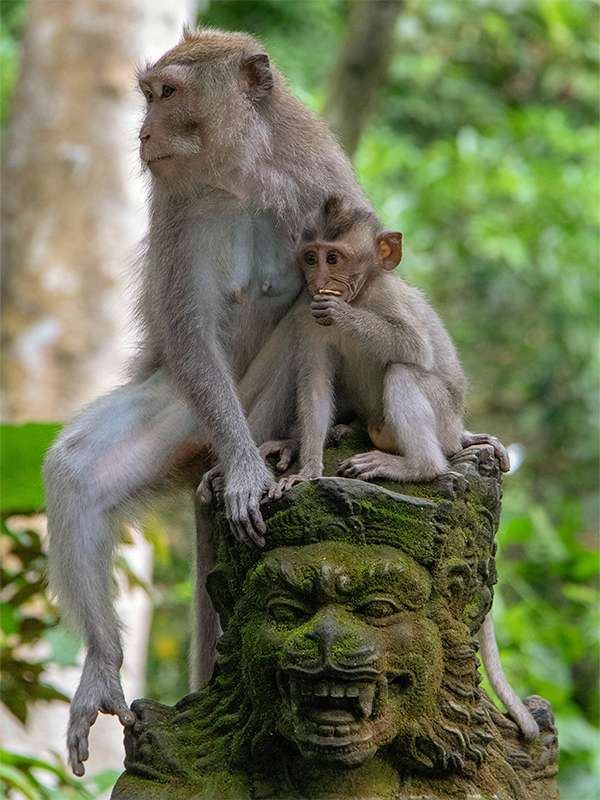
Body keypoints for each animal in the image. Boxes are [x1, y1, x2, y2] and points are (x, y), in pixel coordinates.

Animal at [43, 28, 371, 776]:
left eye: (167, 94)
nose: (143, 132)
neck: (240, 173)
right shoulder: (175, 203)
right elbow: (190, 326)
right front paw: (249, 474)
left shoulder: (322, 181)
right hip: (195, 414)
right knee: (77, 471)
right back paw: (103, 662)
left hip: (252, 405)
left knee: (303, 330)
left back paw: (282, 449)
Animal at [263, 197, 538, 740]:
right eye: (311, 257)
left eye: (335, 258)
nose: (318, 280)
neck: (364, 290)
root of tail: (456, 433)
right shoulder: (305, 315)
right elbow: (315, 381)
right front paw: (306, 467)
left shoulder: (389, 298)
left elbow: (413, 347)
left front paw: (344, 314)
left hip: (442, 417)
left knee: (405, 371)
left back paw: (415, 466)